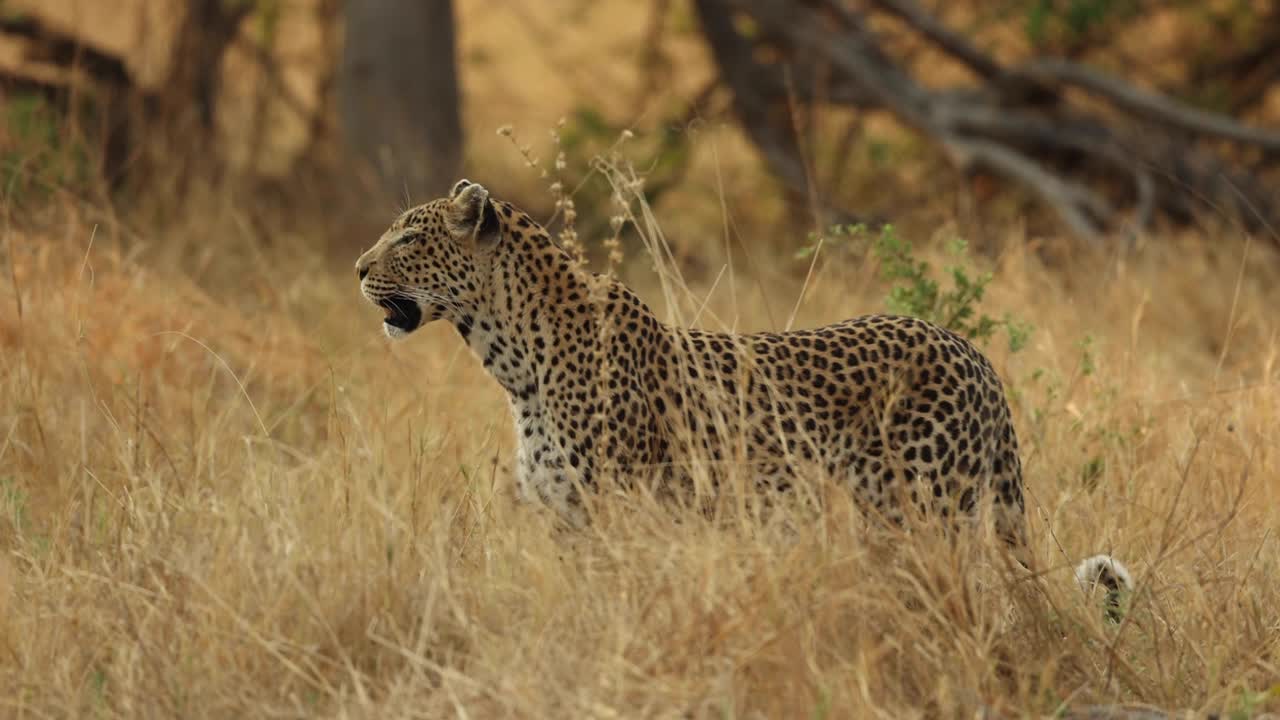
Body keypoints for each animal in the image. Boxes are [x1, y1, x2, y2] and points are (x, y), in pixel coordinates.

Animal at [356, 179, 1132, 618]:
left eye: (410, 236)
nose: (359, 268)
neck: (513, 360)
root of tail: (973, 353)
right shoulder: (568, 522)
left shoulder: (621, 517)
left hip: (922, 513)